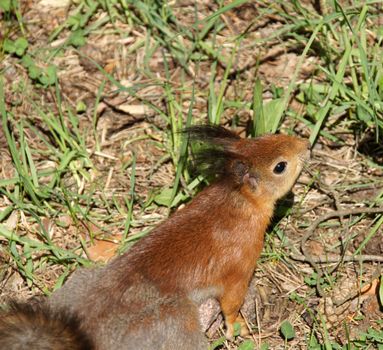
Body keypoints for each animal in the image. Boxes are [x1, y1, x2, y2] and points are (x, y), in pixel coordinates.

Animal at [0, 126, 312, 350]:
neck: (237, 201)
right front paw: (238, 326)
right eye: (280, 167)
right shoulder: (239, 266)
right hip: (176, 324)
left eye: (269, 135)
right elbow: (232, 303)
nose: (306, 145)